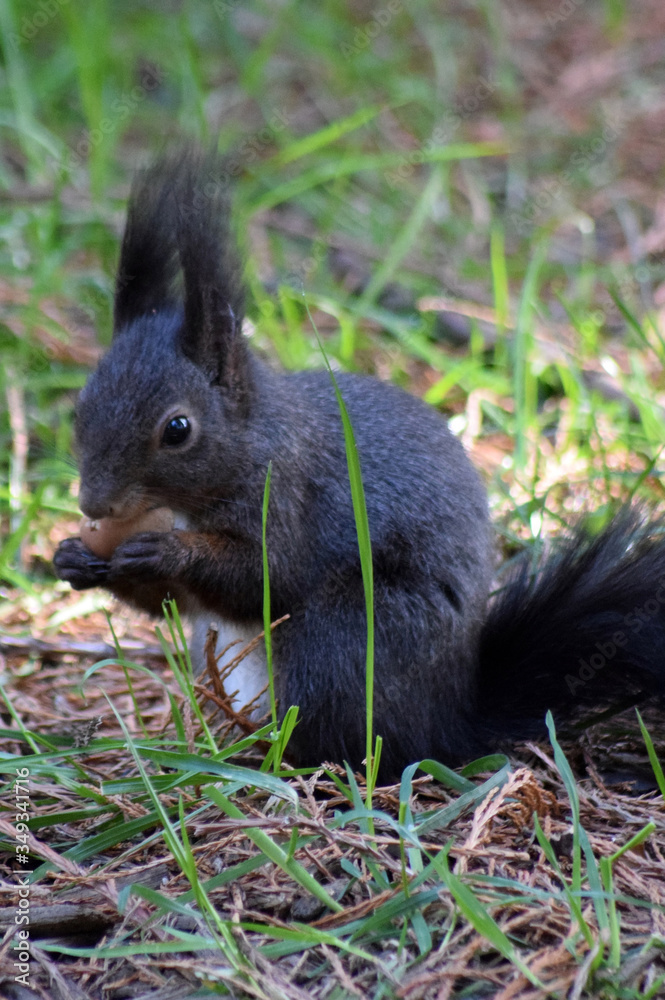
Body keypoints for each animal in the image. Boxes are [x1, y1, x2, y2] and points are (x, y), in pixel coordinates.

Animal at [54, 150, 664, 780]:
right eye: (81, 405)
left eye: (177, 429)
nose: (93, 504)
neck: (253, 442)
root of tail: (451, 719)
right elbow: (175, 602)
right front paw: (72, 557)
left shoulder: (290, 495)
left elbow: (267, 576)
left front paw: (165, 551)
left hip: (346, 639)